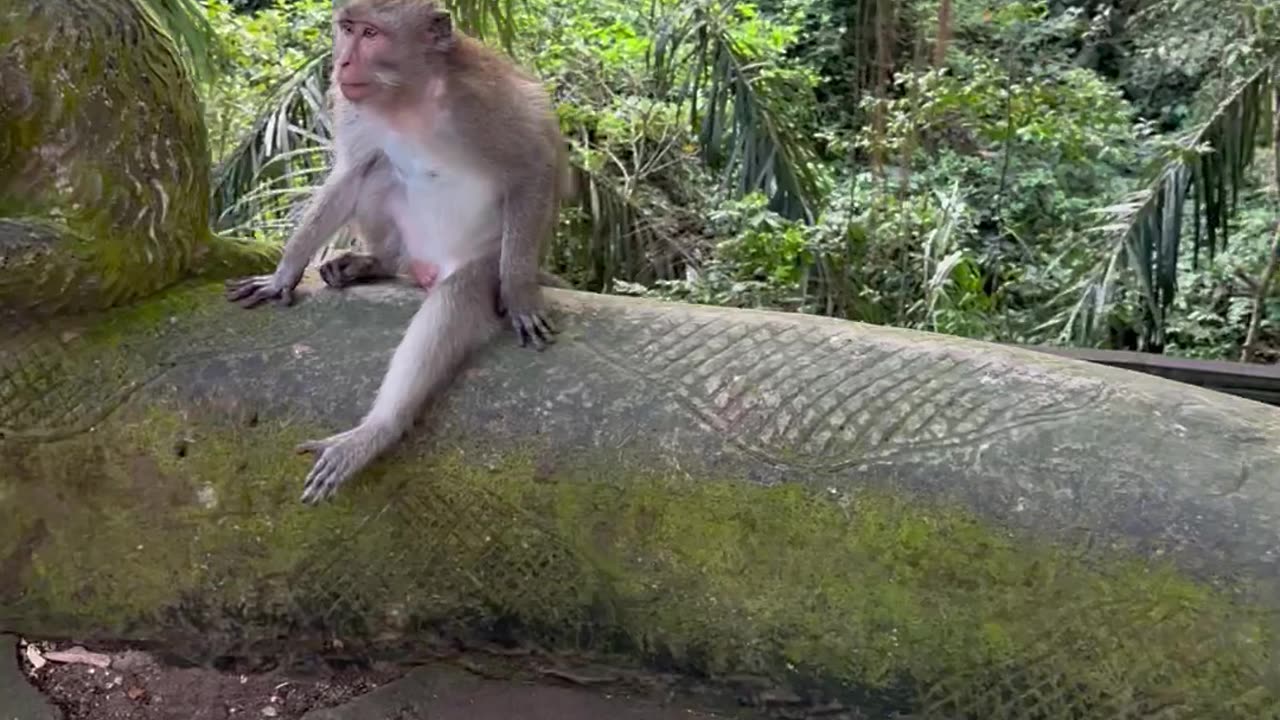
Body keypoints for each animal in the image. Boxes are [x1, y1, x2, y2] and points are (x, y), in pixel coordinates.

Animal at [225, 0, 570, 504]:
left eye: (371, 34)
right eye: (347, 28)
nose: (342, 63)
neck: (410, 94)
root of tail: (424, 266)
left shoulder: (484, 100)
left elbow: (533, 165)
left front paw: (522, 293)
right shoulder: (353, 104)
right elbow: (351, 171)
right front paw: (283, 273)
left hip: (480, 258)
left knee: (456, 297)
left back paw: (377, 430)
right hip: (409, 243)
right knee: (377, 170)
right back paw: (373, 263)